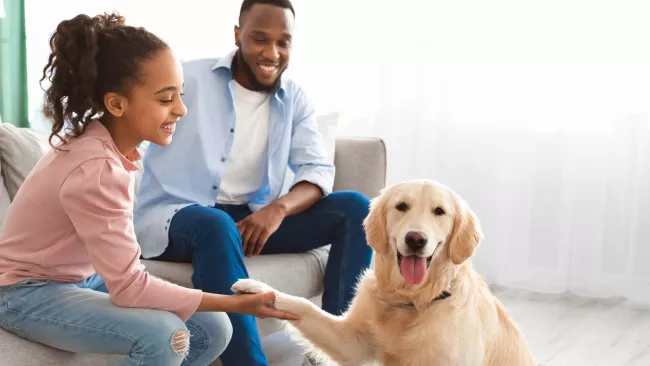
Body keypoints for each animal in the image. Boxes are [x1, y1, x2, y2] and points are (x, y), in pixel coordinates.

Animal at [230, 179, 536, 364]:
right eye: (402, 206)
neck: (413, 301)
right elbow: (303, 305)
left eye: (439, 211)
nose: (416, 239)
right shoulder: (352, 342)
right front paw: (257, 289)